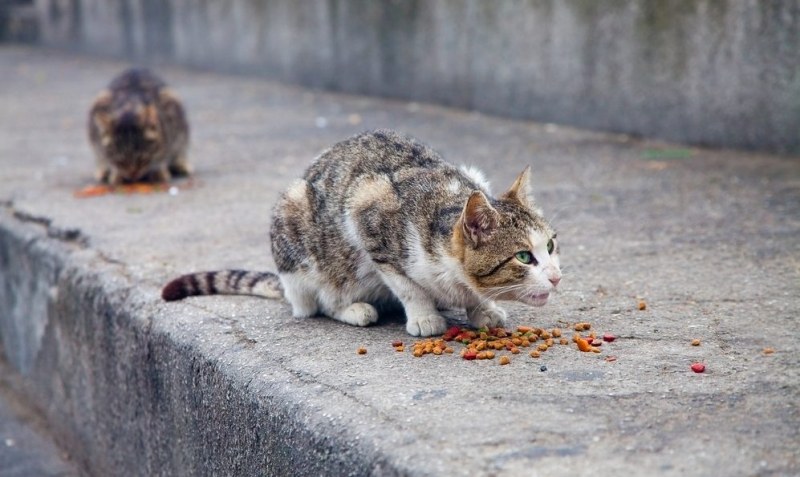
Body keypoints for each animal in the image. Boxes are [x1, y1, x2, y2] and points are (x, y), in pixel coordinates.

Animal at [162, 129, 564, 334]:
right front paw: (424, 316)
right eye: (523, 257)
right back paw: (354, 308)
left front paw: (482, 308)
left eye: (550, 245)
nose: (557, 277)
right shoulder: (367, 211)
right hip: (296, 229)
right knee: (315, 304)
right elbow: (407, 284)